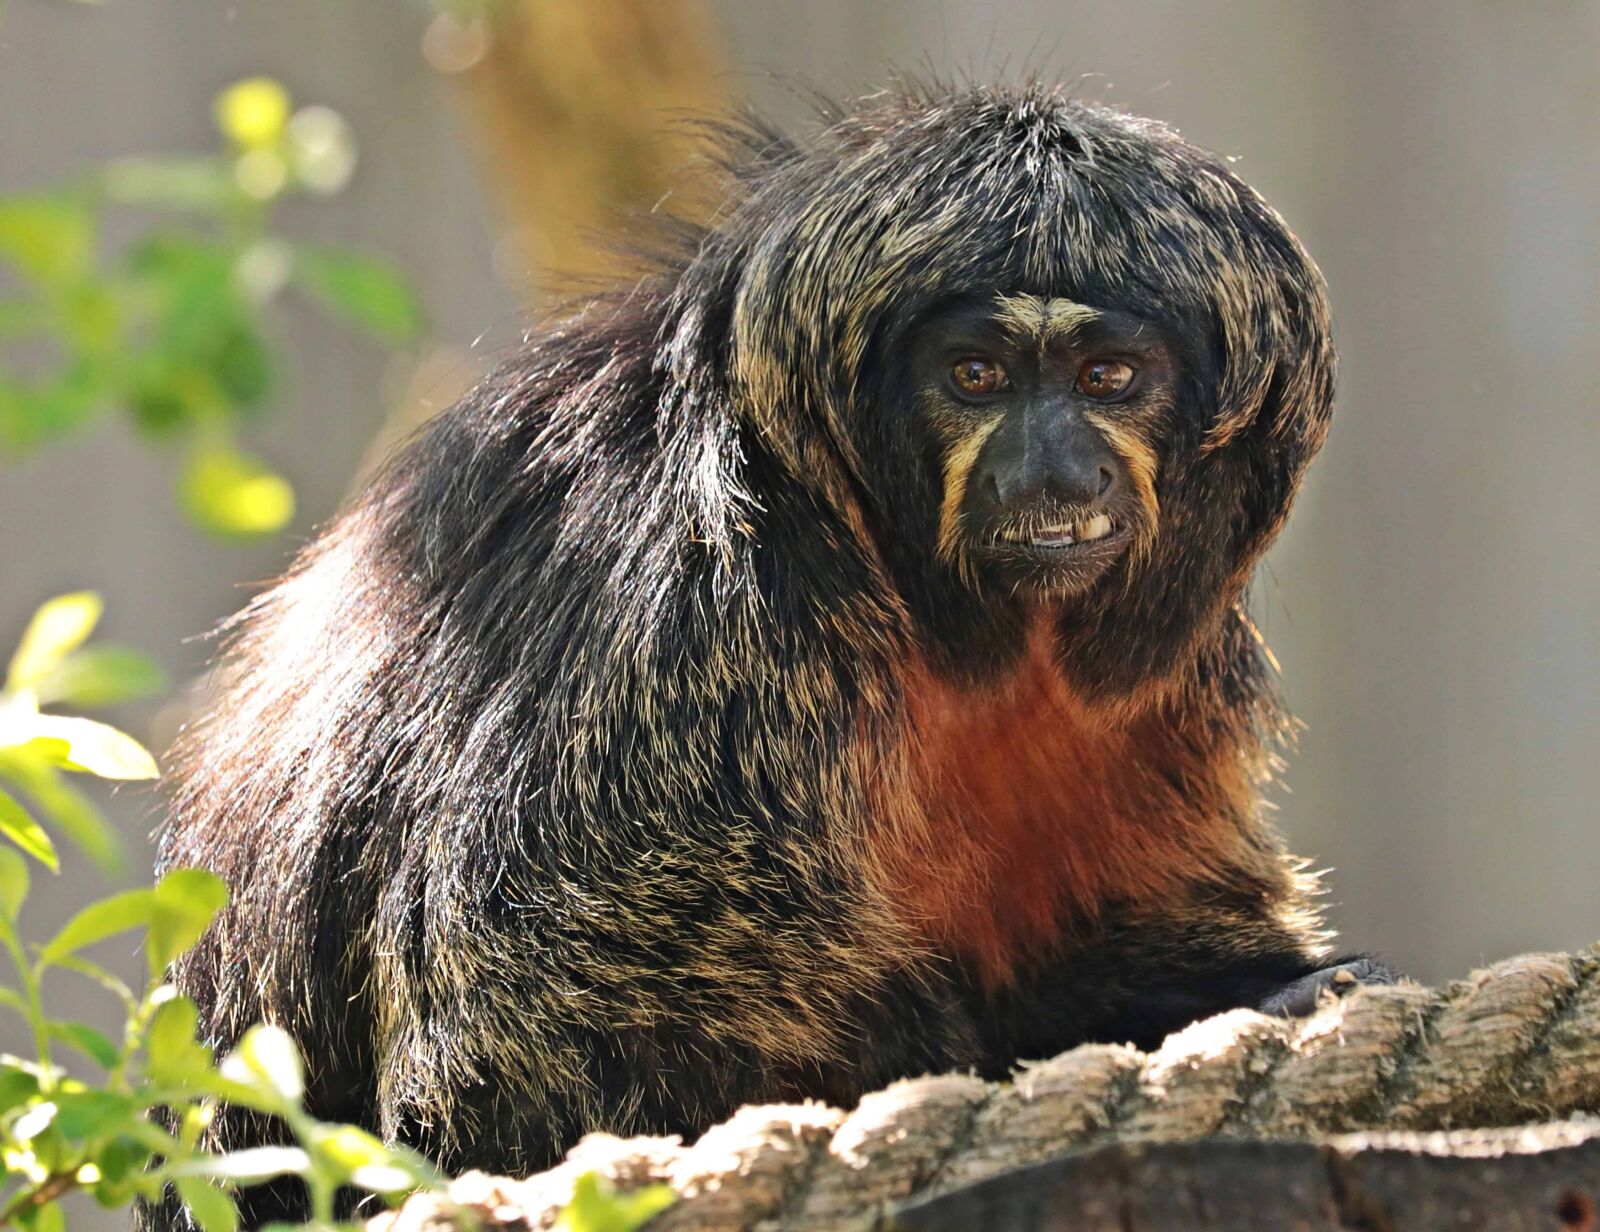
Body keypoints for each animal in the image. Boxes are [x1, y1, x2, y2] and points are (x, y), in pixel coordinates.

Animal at [152, 81, 1391, 1227]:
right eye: (976, 375)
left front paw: (1273, 987)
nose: (1052, 471)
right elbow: (528, 1031)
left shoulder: (1169, 679)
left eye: (1108, 378)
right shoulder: (685, 614)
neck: (920, 597)